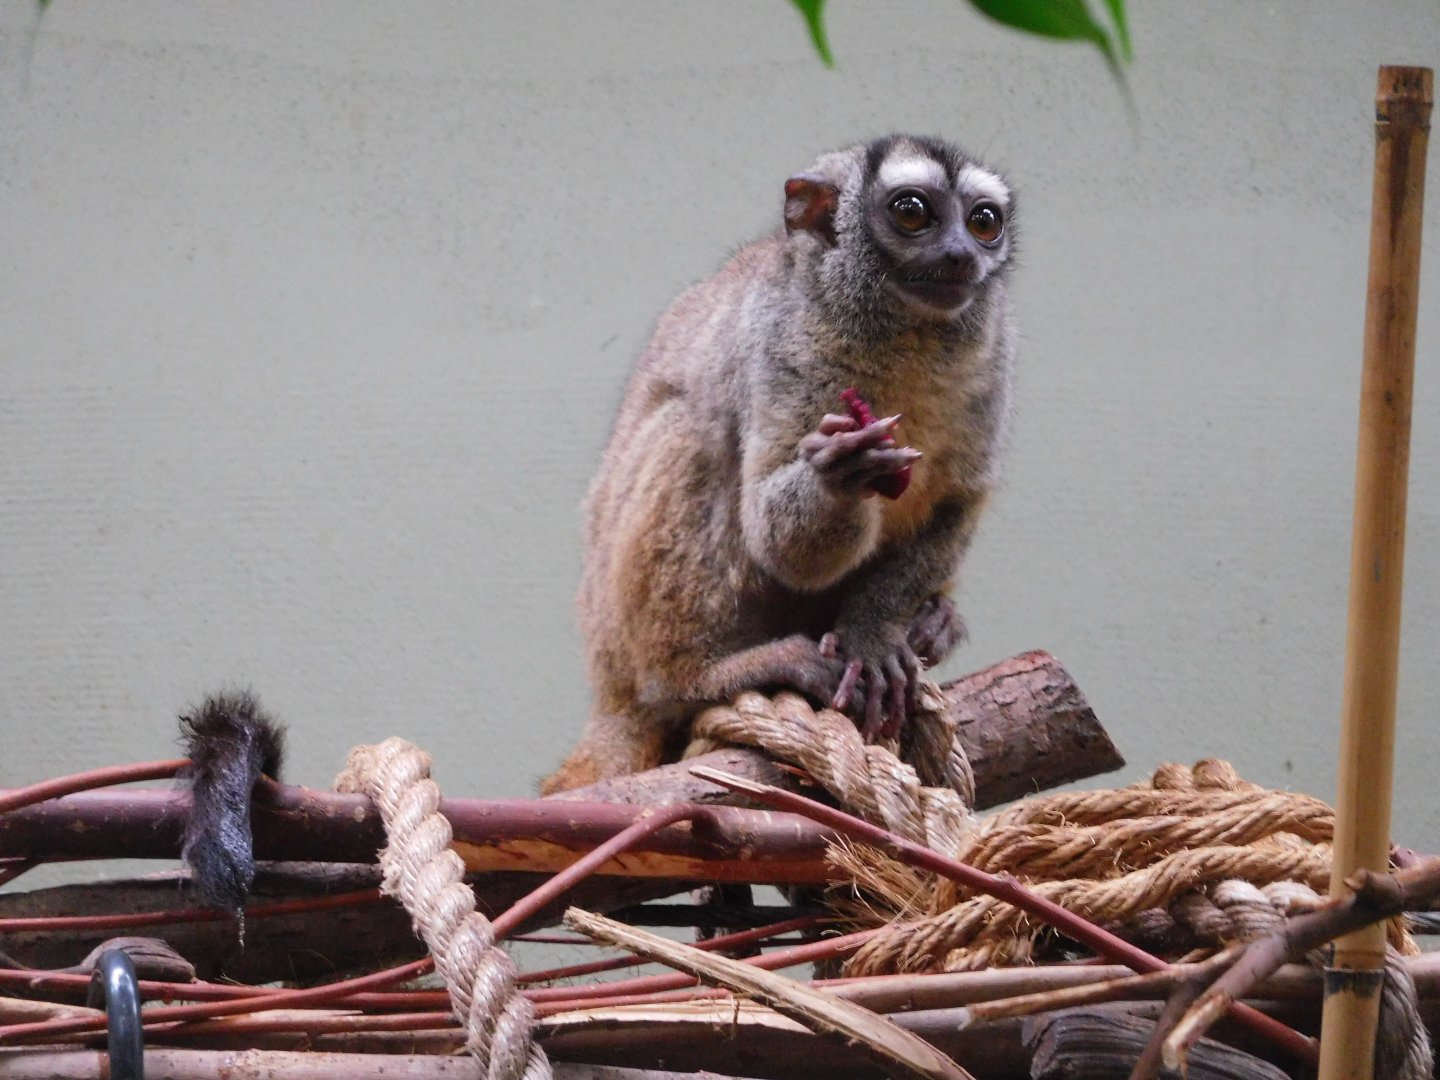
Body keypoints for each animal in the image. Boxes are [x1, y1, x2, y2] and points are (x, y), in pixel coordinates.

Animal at [541, 134, 1016, 796]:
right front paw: (840, 477)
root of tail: (610, 695)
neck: (905, 336)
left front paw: (874, 631)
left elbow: (960, 499)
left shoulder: (993, 359)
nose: (960, 253)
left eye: (983, 222)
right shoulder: (783, 350)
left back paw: (931, 622)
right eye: (912, 211)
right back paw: (700, 675)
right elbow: (777, 540)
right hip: (619, 640)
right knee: (692, 431)